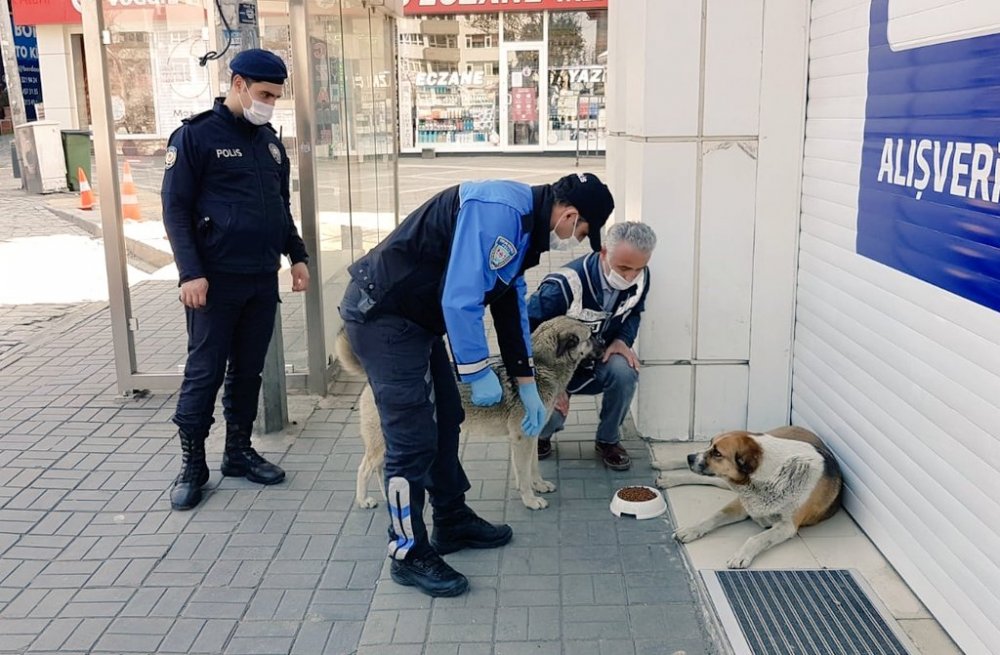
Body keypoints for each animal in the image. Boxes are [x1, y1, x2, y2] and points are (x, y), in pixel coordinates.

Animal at [336, 318, 600, 512]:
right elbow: (524, 474)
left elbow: (532, 468)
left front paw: (539, 485)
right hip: (383, 444)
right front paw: (530, 499)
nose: (605, 341)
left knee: (380, 470)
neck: (542, 368)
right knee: (364, 468)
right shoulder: (522, 440)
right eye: (591, 336)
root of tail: (374, 379)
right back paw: (363, 500)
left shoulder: (531, 438)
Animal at [652, 426, 840, 568]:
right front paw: (691, 530)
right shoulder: (741, 504)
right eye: (710, 444)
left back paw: (668, 476)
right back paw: (666, 469)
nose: (689, 457)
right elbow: (713, 517)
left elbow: (757, 539)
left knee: (706, 479)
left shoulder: (787, 526)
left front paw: (741, 556)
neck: (771, 477)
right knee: (702, 477)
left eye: (717, 453)